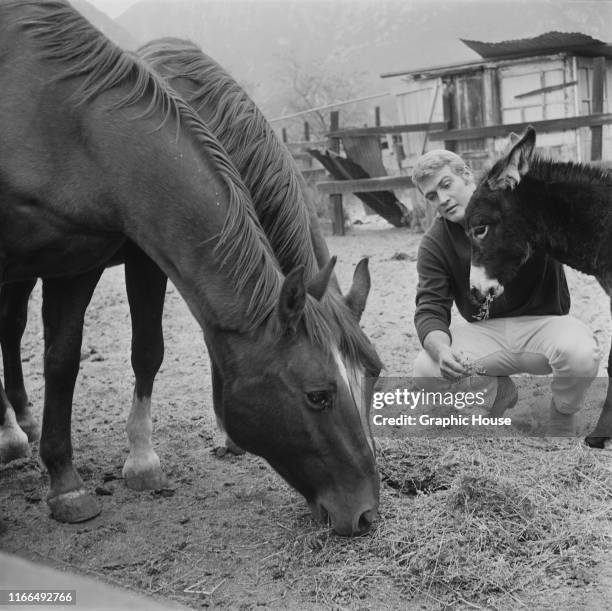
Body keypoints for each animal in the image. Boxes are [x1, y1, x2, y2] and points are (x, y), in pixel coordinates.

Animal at [0, 0, 380, 536]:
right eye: (318, 396)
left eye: (374, 377)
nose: (367, 513)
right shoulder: (143, 259)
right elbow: (144, 351)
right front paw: (140, 461)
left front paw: (226, 433)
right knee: (10, 328)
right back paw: (12, 432)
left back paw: (27, 421)